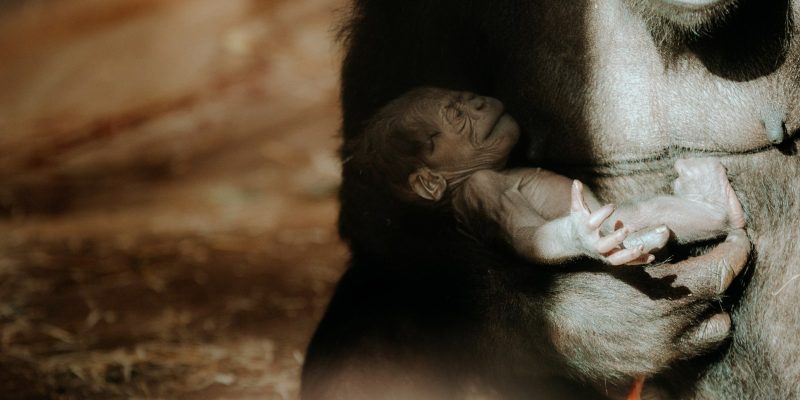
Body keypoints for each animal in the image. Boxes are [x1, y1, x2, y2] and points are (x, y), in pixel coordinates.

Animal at [347, 86, 745, 266]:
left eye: (460, 97)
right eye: (457, 116)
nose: (477, 101)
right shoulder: (480, 187)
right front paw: (581, 236)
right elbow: (530, 237)